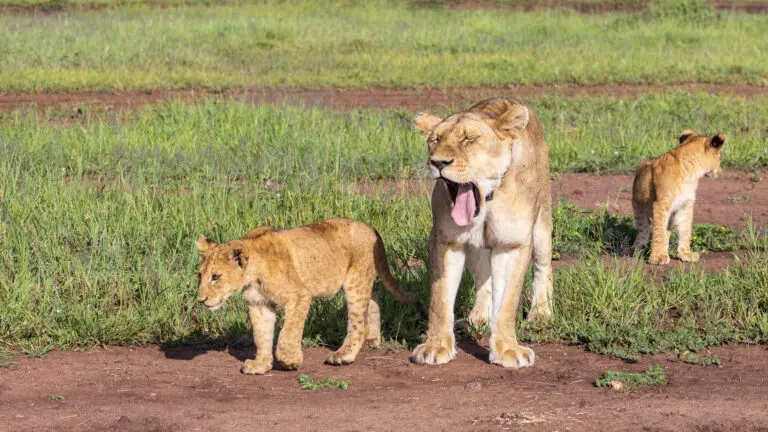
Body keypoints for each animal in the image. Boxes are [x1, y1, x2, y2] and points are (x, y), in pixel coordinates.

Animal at [195, 218, 417, 374]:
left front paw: (290, 361)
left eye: (215, 277)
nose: (201, 300)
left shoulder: (299, 295)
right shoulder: (259, 303)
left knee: (358, 323)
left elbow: (287, 333)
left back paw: (343, 355)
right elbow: (261, 336)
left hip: (355, 282)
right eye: (200, 275)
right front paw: (261, 365)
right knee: (374, 299)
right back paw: (372, 341)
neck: (252, 276)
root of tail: (370, 228)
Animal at [409, 98, 553, 369]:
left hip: (541, 228)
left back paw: (541, 313)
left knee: (542, 267)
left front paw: (508, 350)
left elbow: (507, 302)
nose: (438, 162)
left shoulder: (511, 244)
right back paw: (477, 318)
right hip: (475, 248)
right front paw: (436, 346)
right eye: (435, 140)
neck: (487, 201)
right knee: (484, 279)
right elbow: (440, 300)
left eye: (469, 139)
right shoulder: (446, 240)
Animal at [632, 130, 726, 265]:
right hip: (638, 208)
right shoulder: (661, 204)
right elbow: (658, 231)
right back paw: (637, 248)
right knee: (643, 229)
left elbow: (685, 231)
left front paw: (685, 254)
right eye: (719, 158)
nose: (720, 171)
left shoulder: (685, 206)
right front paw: (658, 257)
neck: (691, 174)